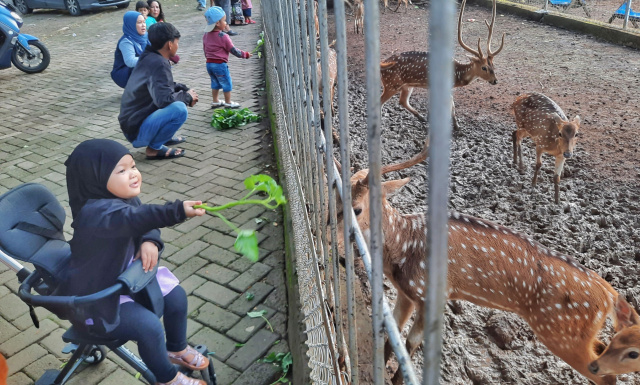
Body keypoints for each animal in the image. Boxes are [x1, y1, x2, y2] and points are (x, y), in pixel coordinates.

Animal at [336, 145, 636, 384]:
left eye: (358, 209)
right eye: (336, 196)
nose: (339, 254)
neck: (402, 248)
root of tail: (610, 294)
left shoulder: (431, 294)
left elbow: (410, 343)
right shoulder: (406, 292)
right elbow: (393, 334)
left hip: (562, 334)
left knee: (606, 376)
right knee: (603, 353)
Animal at [378, 0, 502, 130]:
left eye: (493, 65)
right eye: (484, 67)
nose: (495, 80)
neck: (457, 74)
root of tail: (382, 66)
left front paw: (453, 124)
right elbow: (450, 105)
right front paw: (455, 126)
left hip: (406, 85)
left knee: (402, 101)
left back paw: (421, 118)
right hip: (392, 84)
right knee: (381, 101)